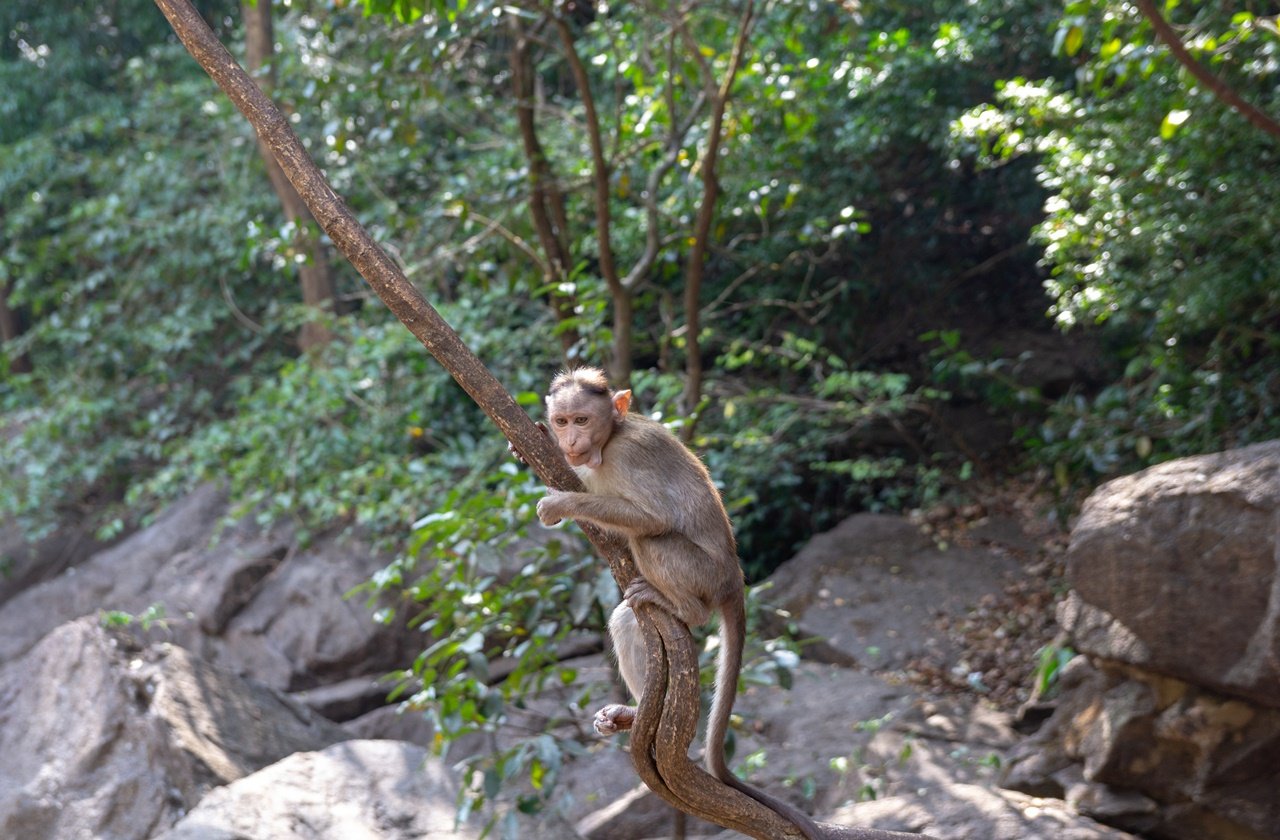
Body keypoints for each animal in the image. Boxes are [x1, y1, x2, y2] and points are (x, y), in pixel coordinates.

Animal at [529, 368, 819, 840]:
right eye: (562, 420)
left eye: (582, 419)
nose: (570, 440)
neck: (608, 443)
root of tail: (733, 579)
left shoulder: (630, 455)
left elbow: (653, 519)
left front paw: (562, 503)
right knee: (626, 620)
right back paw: (632, 713)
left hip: (702, 573)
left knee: (655, 538)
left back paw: (687, 611)